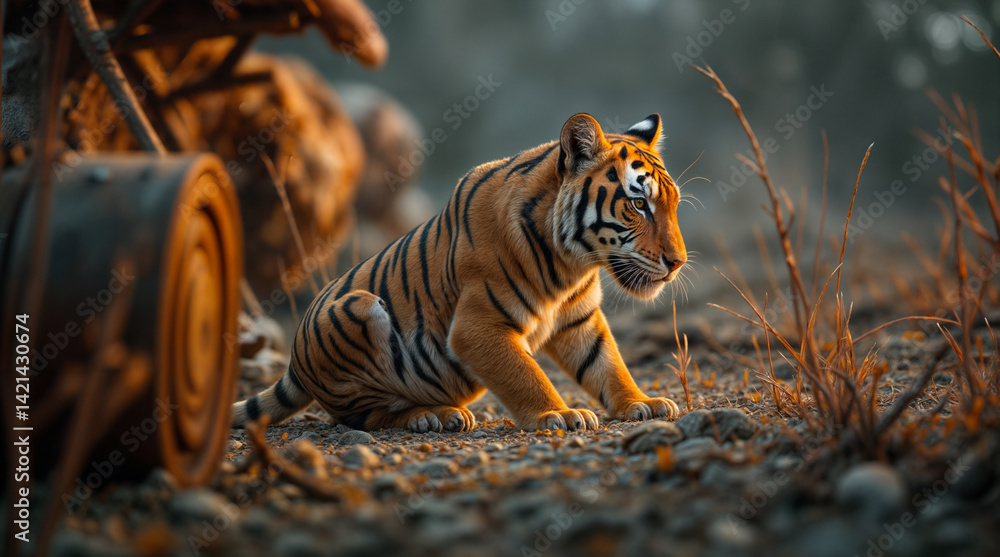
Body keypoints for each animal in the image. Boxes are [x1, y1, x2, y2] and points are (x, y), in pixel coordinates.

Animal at [232, 113, 687, 432]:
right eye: (639, 204)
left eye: (672, 203)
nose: (678, 262)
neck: (572, 263)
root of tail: (293, 363)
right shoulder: (477, 326)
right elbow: (526, 374)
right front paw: (557, 415)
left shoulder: (580, 319)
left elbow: (608, 364)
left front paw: (641, 403)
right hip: (358, 309)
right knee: (365, 416)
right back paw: (430, 415)